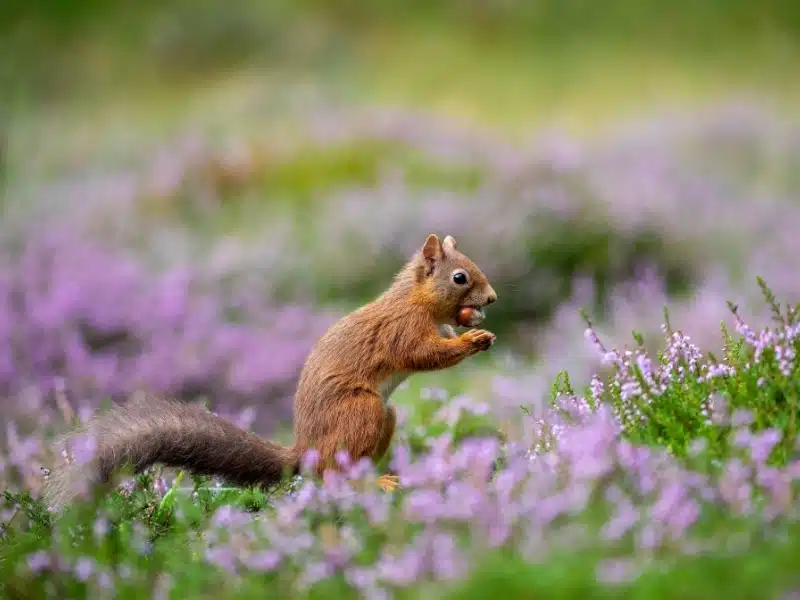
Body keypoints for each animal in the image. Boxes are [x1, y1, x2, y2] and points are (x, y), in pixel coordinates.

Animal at [39, 233, 497, 508]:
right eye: (460, 277)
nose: (492, 298)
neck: (415, 300)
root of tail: (303, 453)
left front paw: (472, 327)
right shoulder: (401, 330)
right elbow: (423, 355)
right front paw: (472, 340)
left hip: (383, 417)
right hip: (360, 412)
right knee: (329, 476)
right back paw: (372, 485)